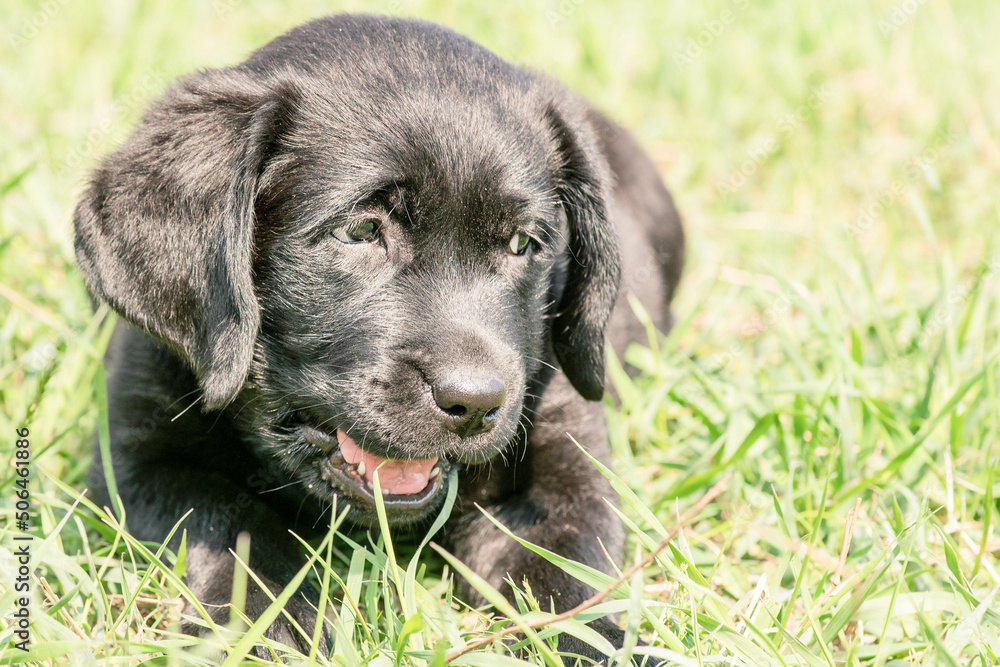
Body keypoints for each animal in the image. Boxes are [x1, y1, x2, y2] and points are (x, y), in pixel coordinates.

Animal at [72, 14, 680, 664]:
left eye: (523, 244)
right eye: (361, 231)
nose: (476, 403)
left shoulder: (563, 458)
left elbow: (564, 573)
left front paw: (605, 643)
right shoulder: (138, 456)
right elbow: (232, 519)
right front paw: (268, 628)